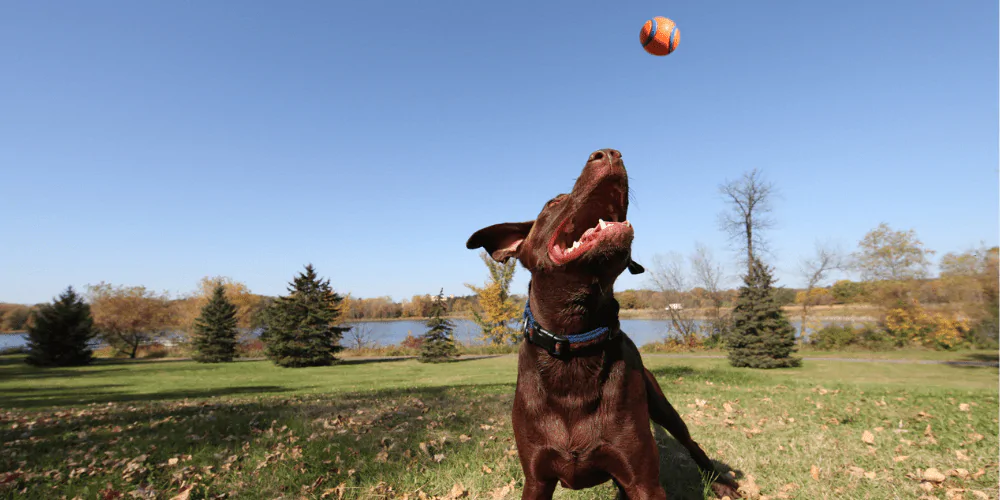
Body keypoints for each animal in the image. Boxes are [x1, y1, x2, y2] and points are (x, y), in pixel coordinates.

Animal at [464, 149, 740, 500]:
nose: (608, 153)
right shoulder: (536, 479)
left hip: (662, 405)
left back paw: (721, 481)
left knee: (691, 443)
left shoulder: (644, 480)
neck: (574, 341)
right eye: (553, 203)